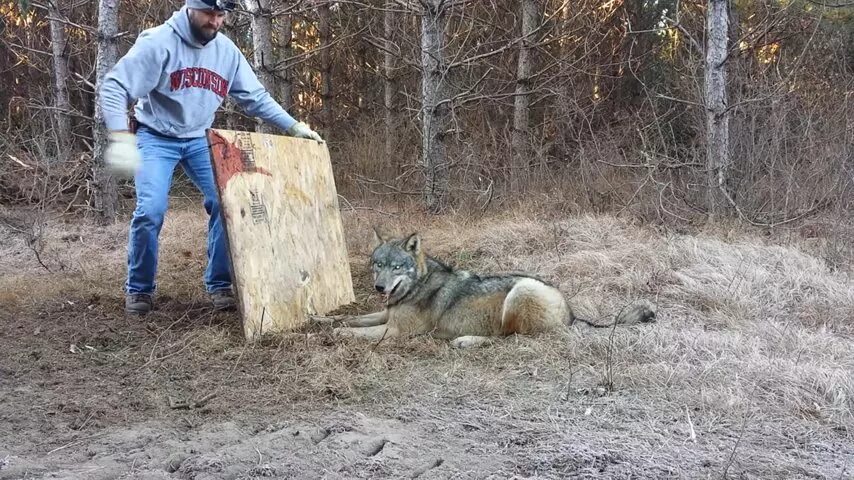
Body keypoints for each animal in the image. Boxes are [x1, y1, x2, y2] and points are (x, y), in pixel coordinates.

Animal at [314, 230, 656, 348]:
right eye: (378, 265)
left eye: (397, 267)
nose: (379, 286)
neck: (416, 286)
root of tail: (572, 313)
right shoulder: (386, 316)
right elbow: (350, 319)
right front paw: (319, 320)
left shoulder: (395, 331)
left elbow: (352, 332)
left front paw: (325, 335)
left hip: (518, 294)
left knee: (506, 338)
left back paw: (466, 340)